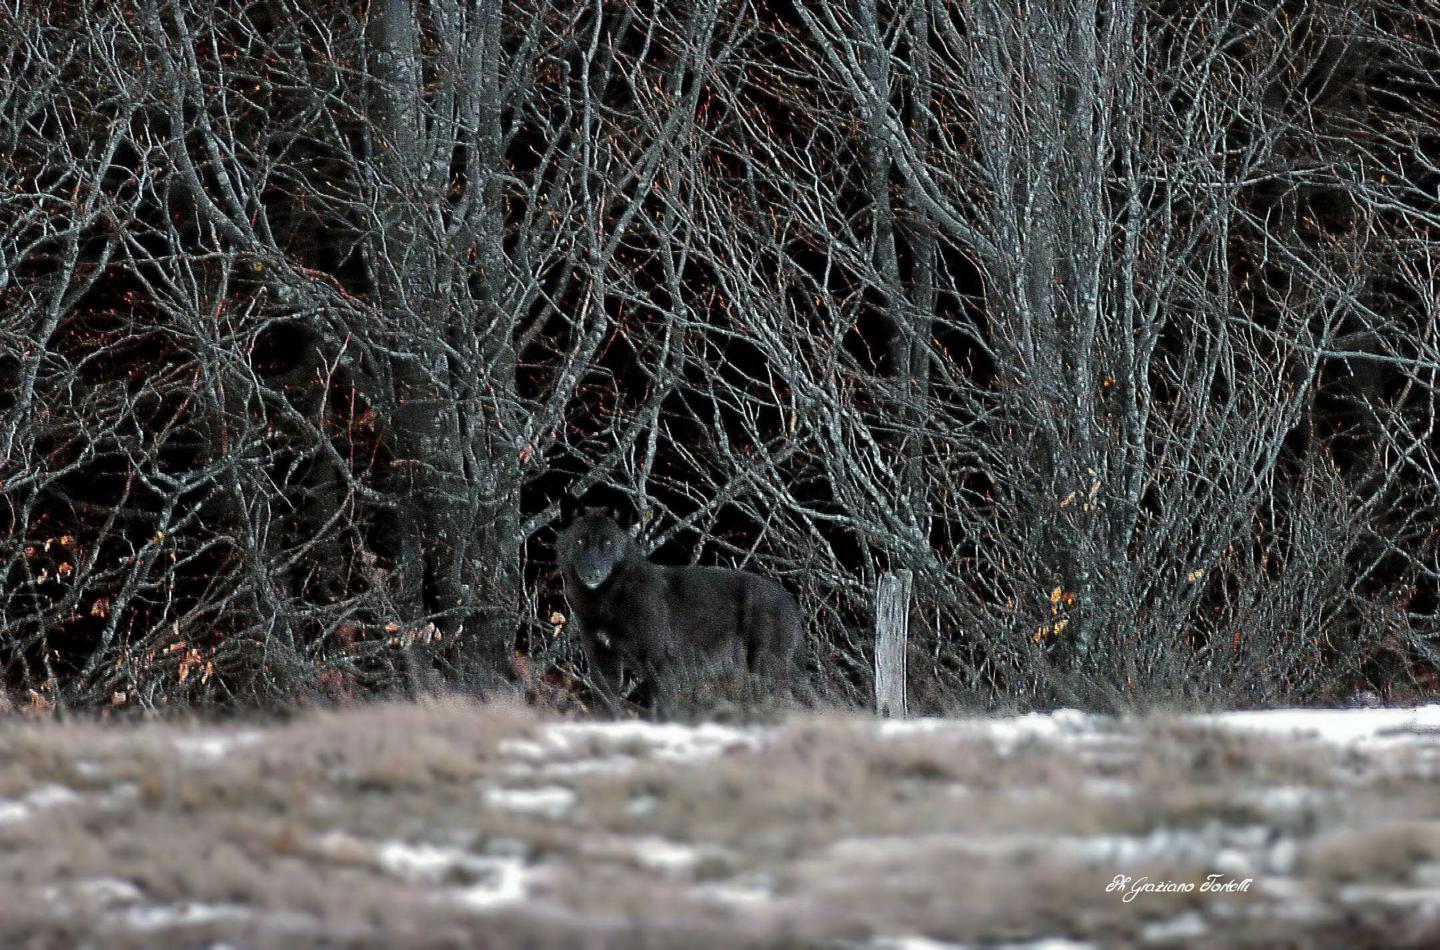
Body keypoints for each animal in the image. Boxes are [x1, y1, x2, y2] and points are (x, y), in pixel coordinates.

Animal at [557, 500, 801, 716]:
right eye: (580, 542)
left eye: (607, 543)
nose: (592, 573)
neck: (608, 601)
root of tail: (790, 601)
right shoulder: (602, 663)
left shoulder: (661, 664)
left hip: (765, 669)